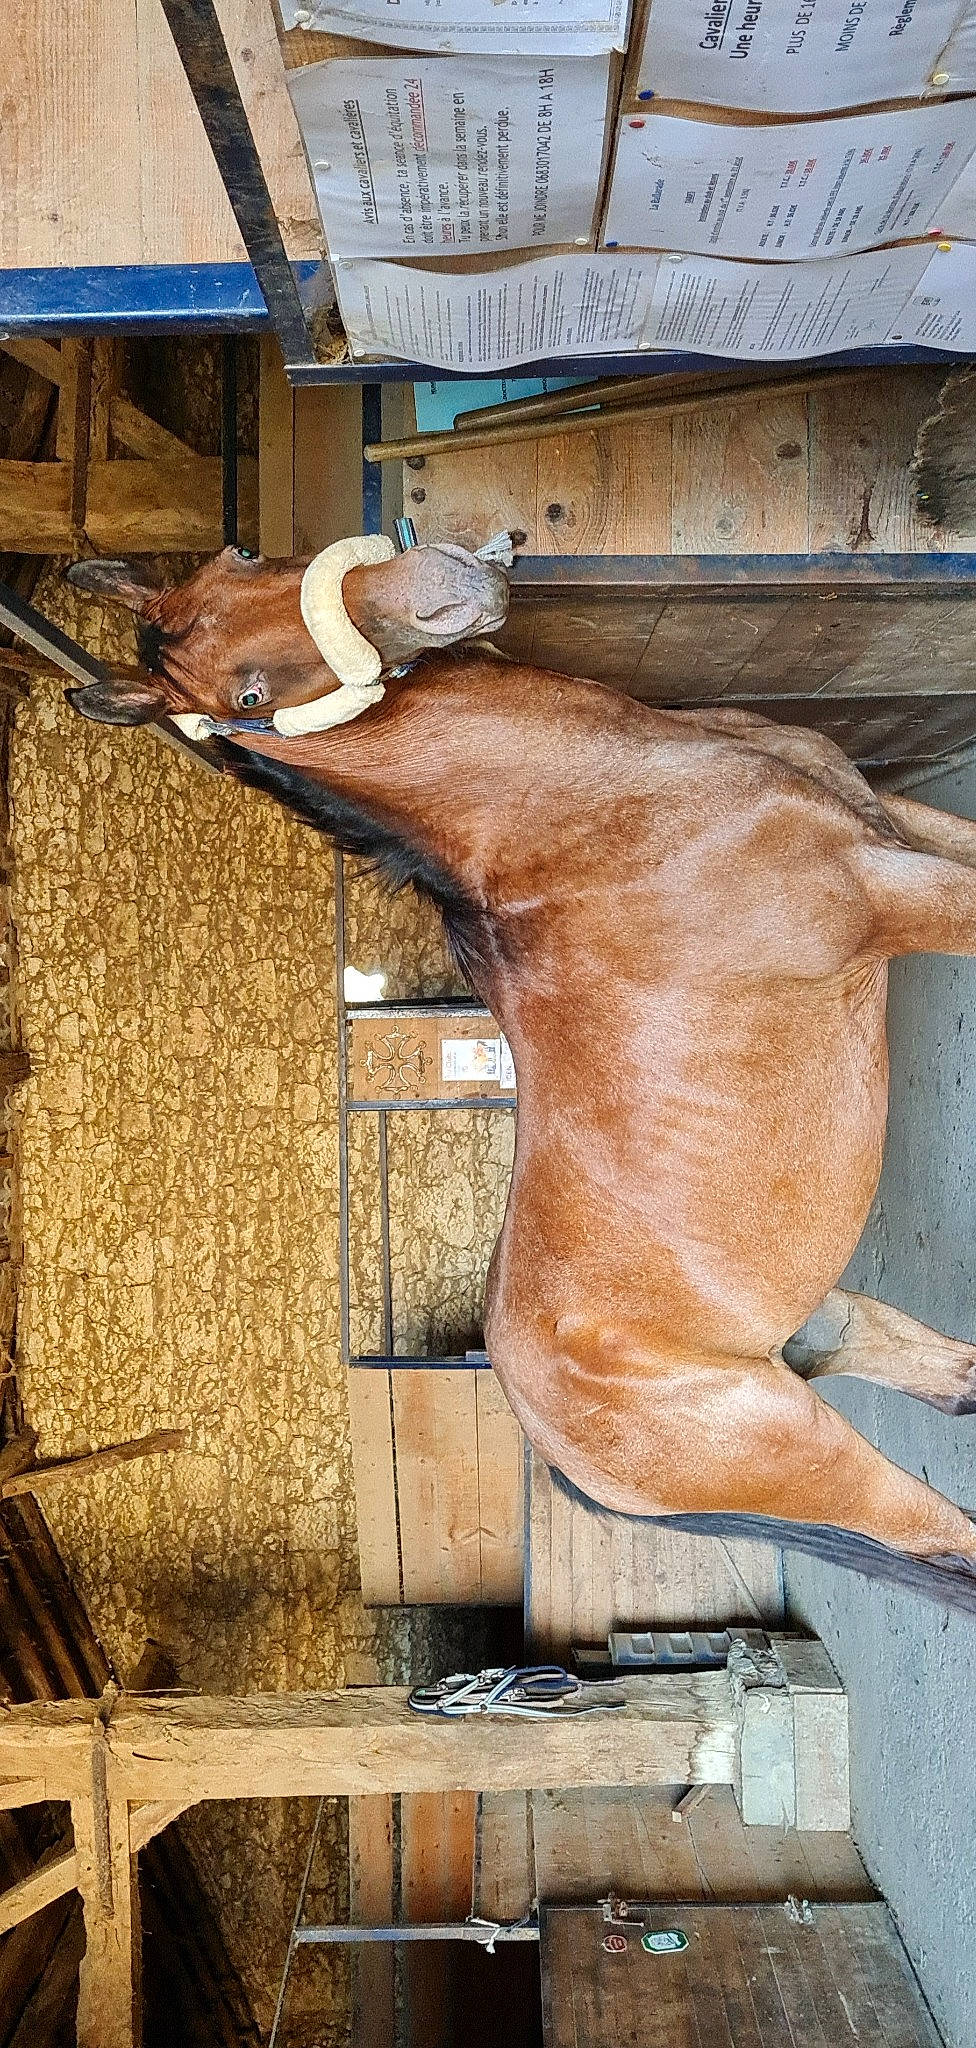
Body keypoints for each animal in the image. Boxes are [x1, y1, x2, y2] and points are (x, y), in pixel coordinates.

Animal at [65, 540, 976, 1612]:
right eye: (245, 696)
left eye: (240, 557)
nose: (445, 583)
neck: (589, 820)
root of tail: (548, 1434)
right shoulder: (900, 892)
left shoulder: (897, 826)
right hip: (825, 1460)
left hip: (821, 1326)